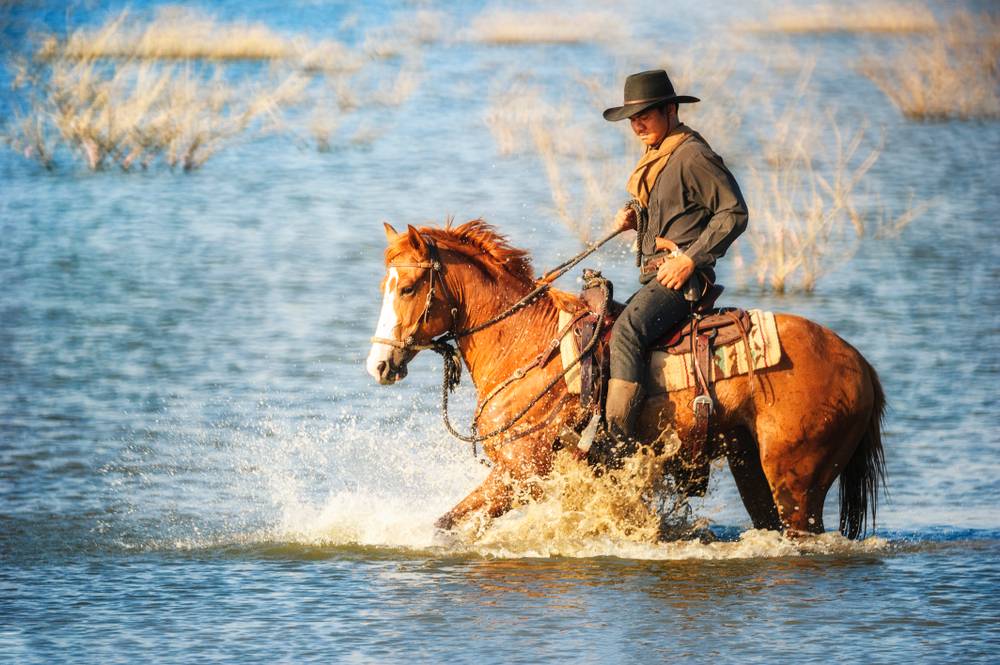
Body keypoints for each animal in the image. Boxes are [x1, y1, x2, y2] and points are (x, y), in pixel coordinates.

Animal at [366, 220, 884, 536]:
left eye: (407, 288)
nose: (378, 365)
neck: (526, 342)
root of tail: (861, 367)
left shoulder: (521, 473)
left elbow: (446, 524)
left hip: (796, 479)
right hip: (750, 465)